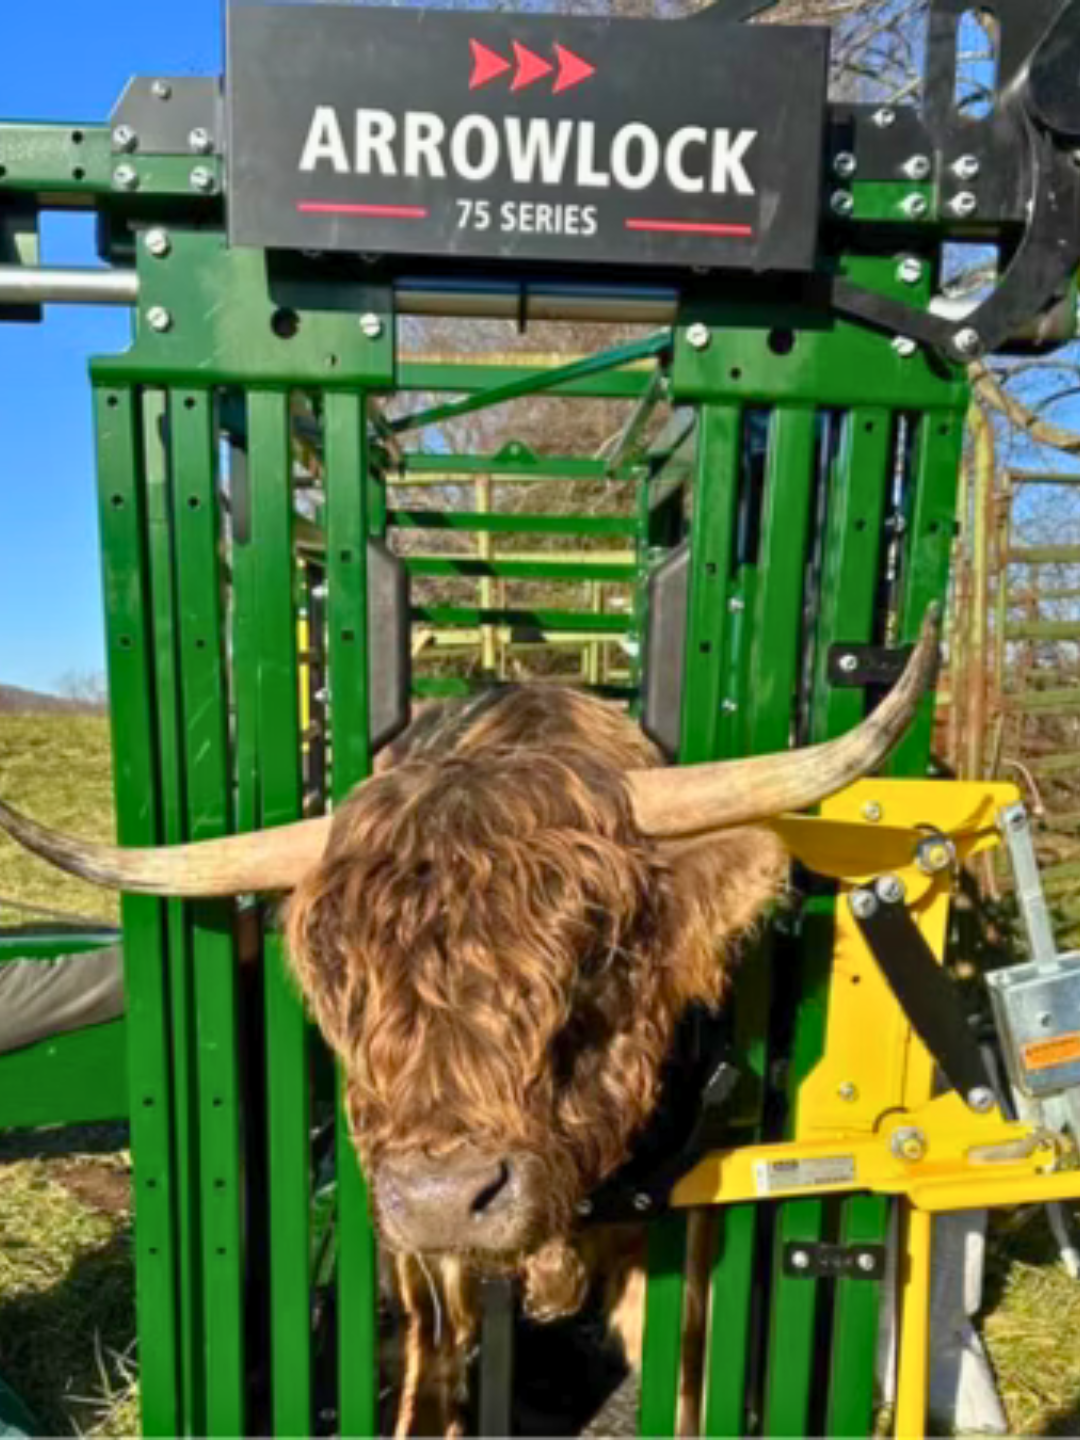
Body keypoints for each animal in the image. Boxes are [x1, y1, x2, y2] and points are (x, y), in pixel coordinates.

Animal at [0, 610, 938, 1433]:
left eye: (597, 949)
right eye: (342, 972)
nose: (445, 1197)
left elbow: (681, 1377)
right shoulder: (422, 1262)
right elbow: (432, 1373)